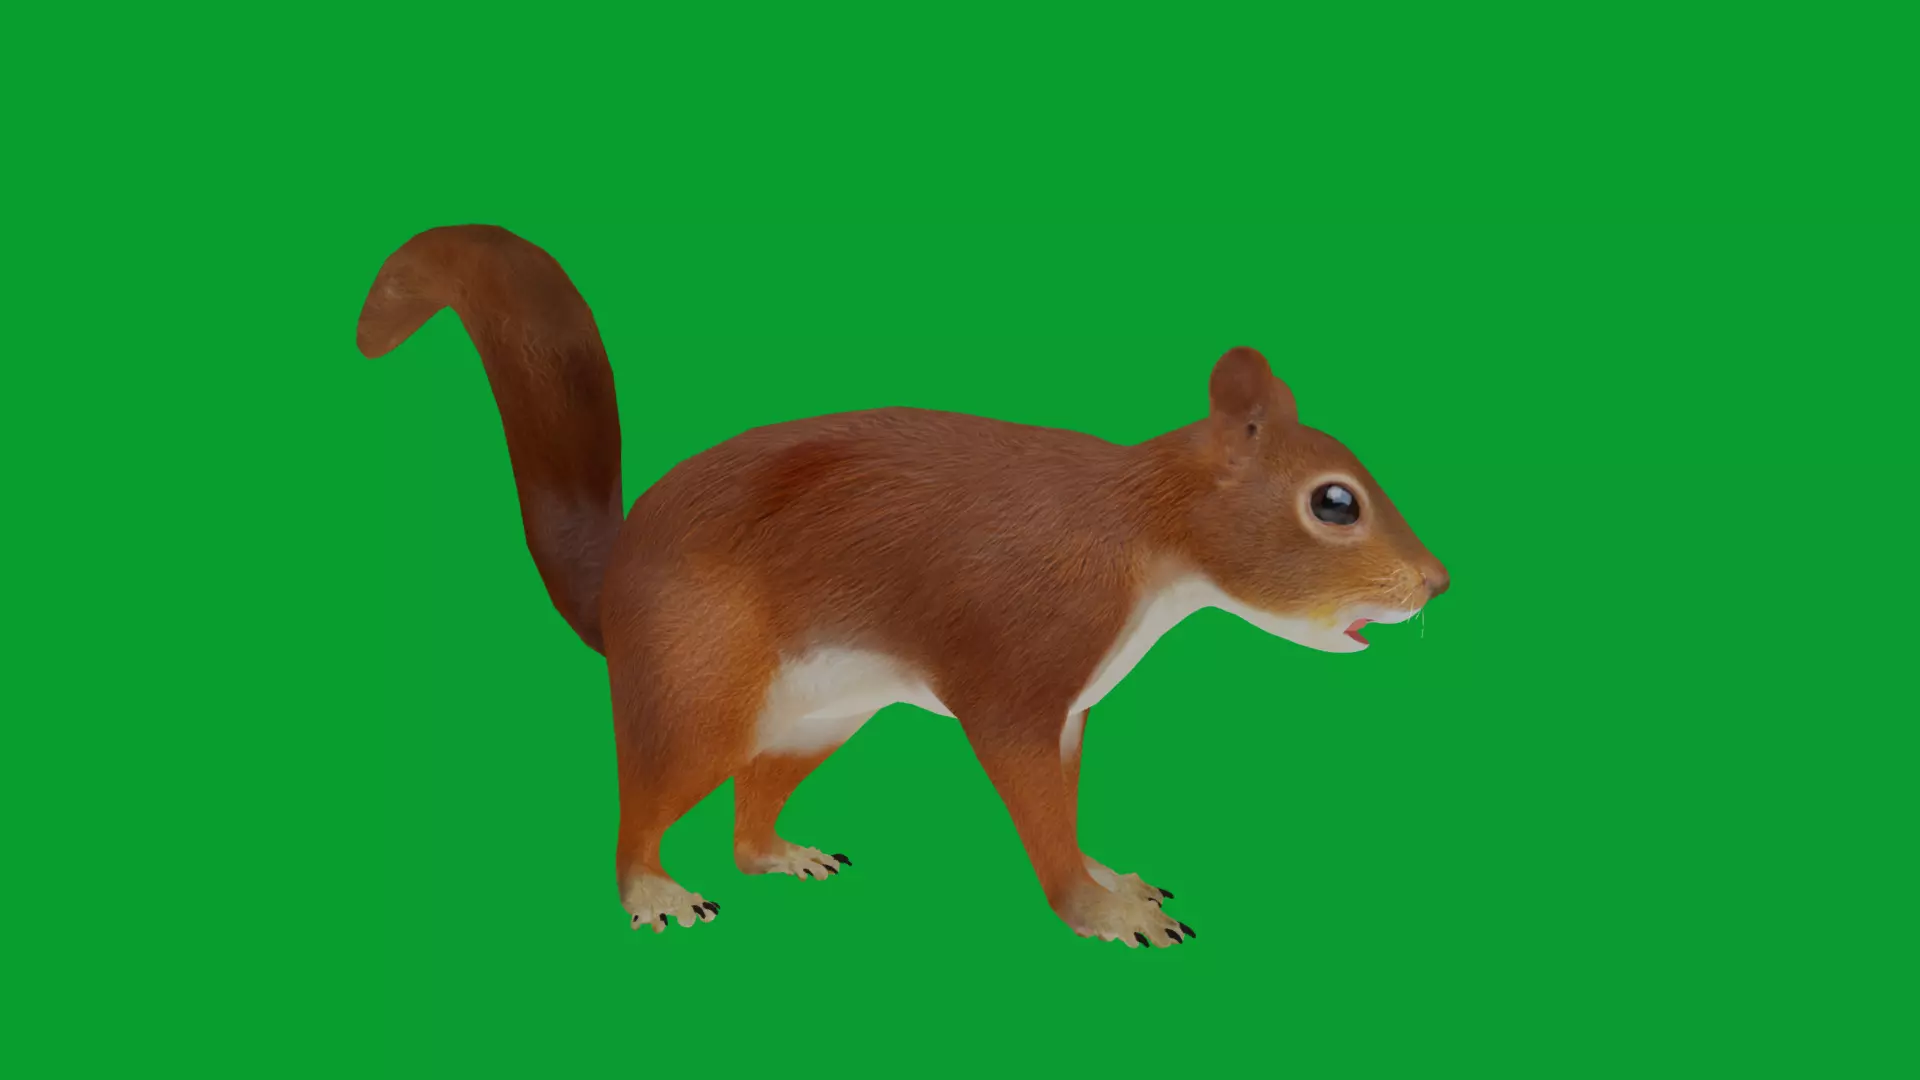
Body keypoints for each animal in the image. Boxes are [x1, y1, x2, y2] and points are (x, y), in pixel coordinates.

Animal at [357, 224, 1450, 949]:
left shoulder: (1072, 710)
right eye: (1336, 502)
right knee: (647, 802)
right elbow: (1037, 808)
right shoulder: (1018, 676)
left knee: (749, 816)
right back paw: (652, 892)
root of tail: (617, 582)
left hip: (819, 717)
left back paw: (782, 853)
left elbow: (1069, 802)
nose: (1438, 582)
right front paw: (1099, 909)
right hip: (700, 685)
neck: (1146, 537)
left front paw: (1112, 876)